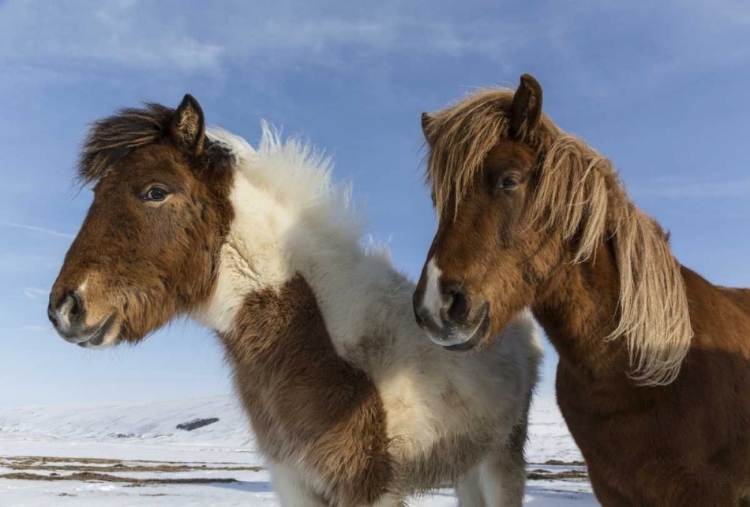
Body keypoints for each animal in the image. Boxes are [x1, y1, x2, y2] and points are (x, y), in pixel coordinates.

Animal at [48, 96, 540, 507]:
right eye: (96, 194)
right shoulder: (294, 482)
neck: (316, 339)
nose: (65, 308)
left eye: (155, 191)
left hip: (504, 457)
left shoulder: (368, 488)